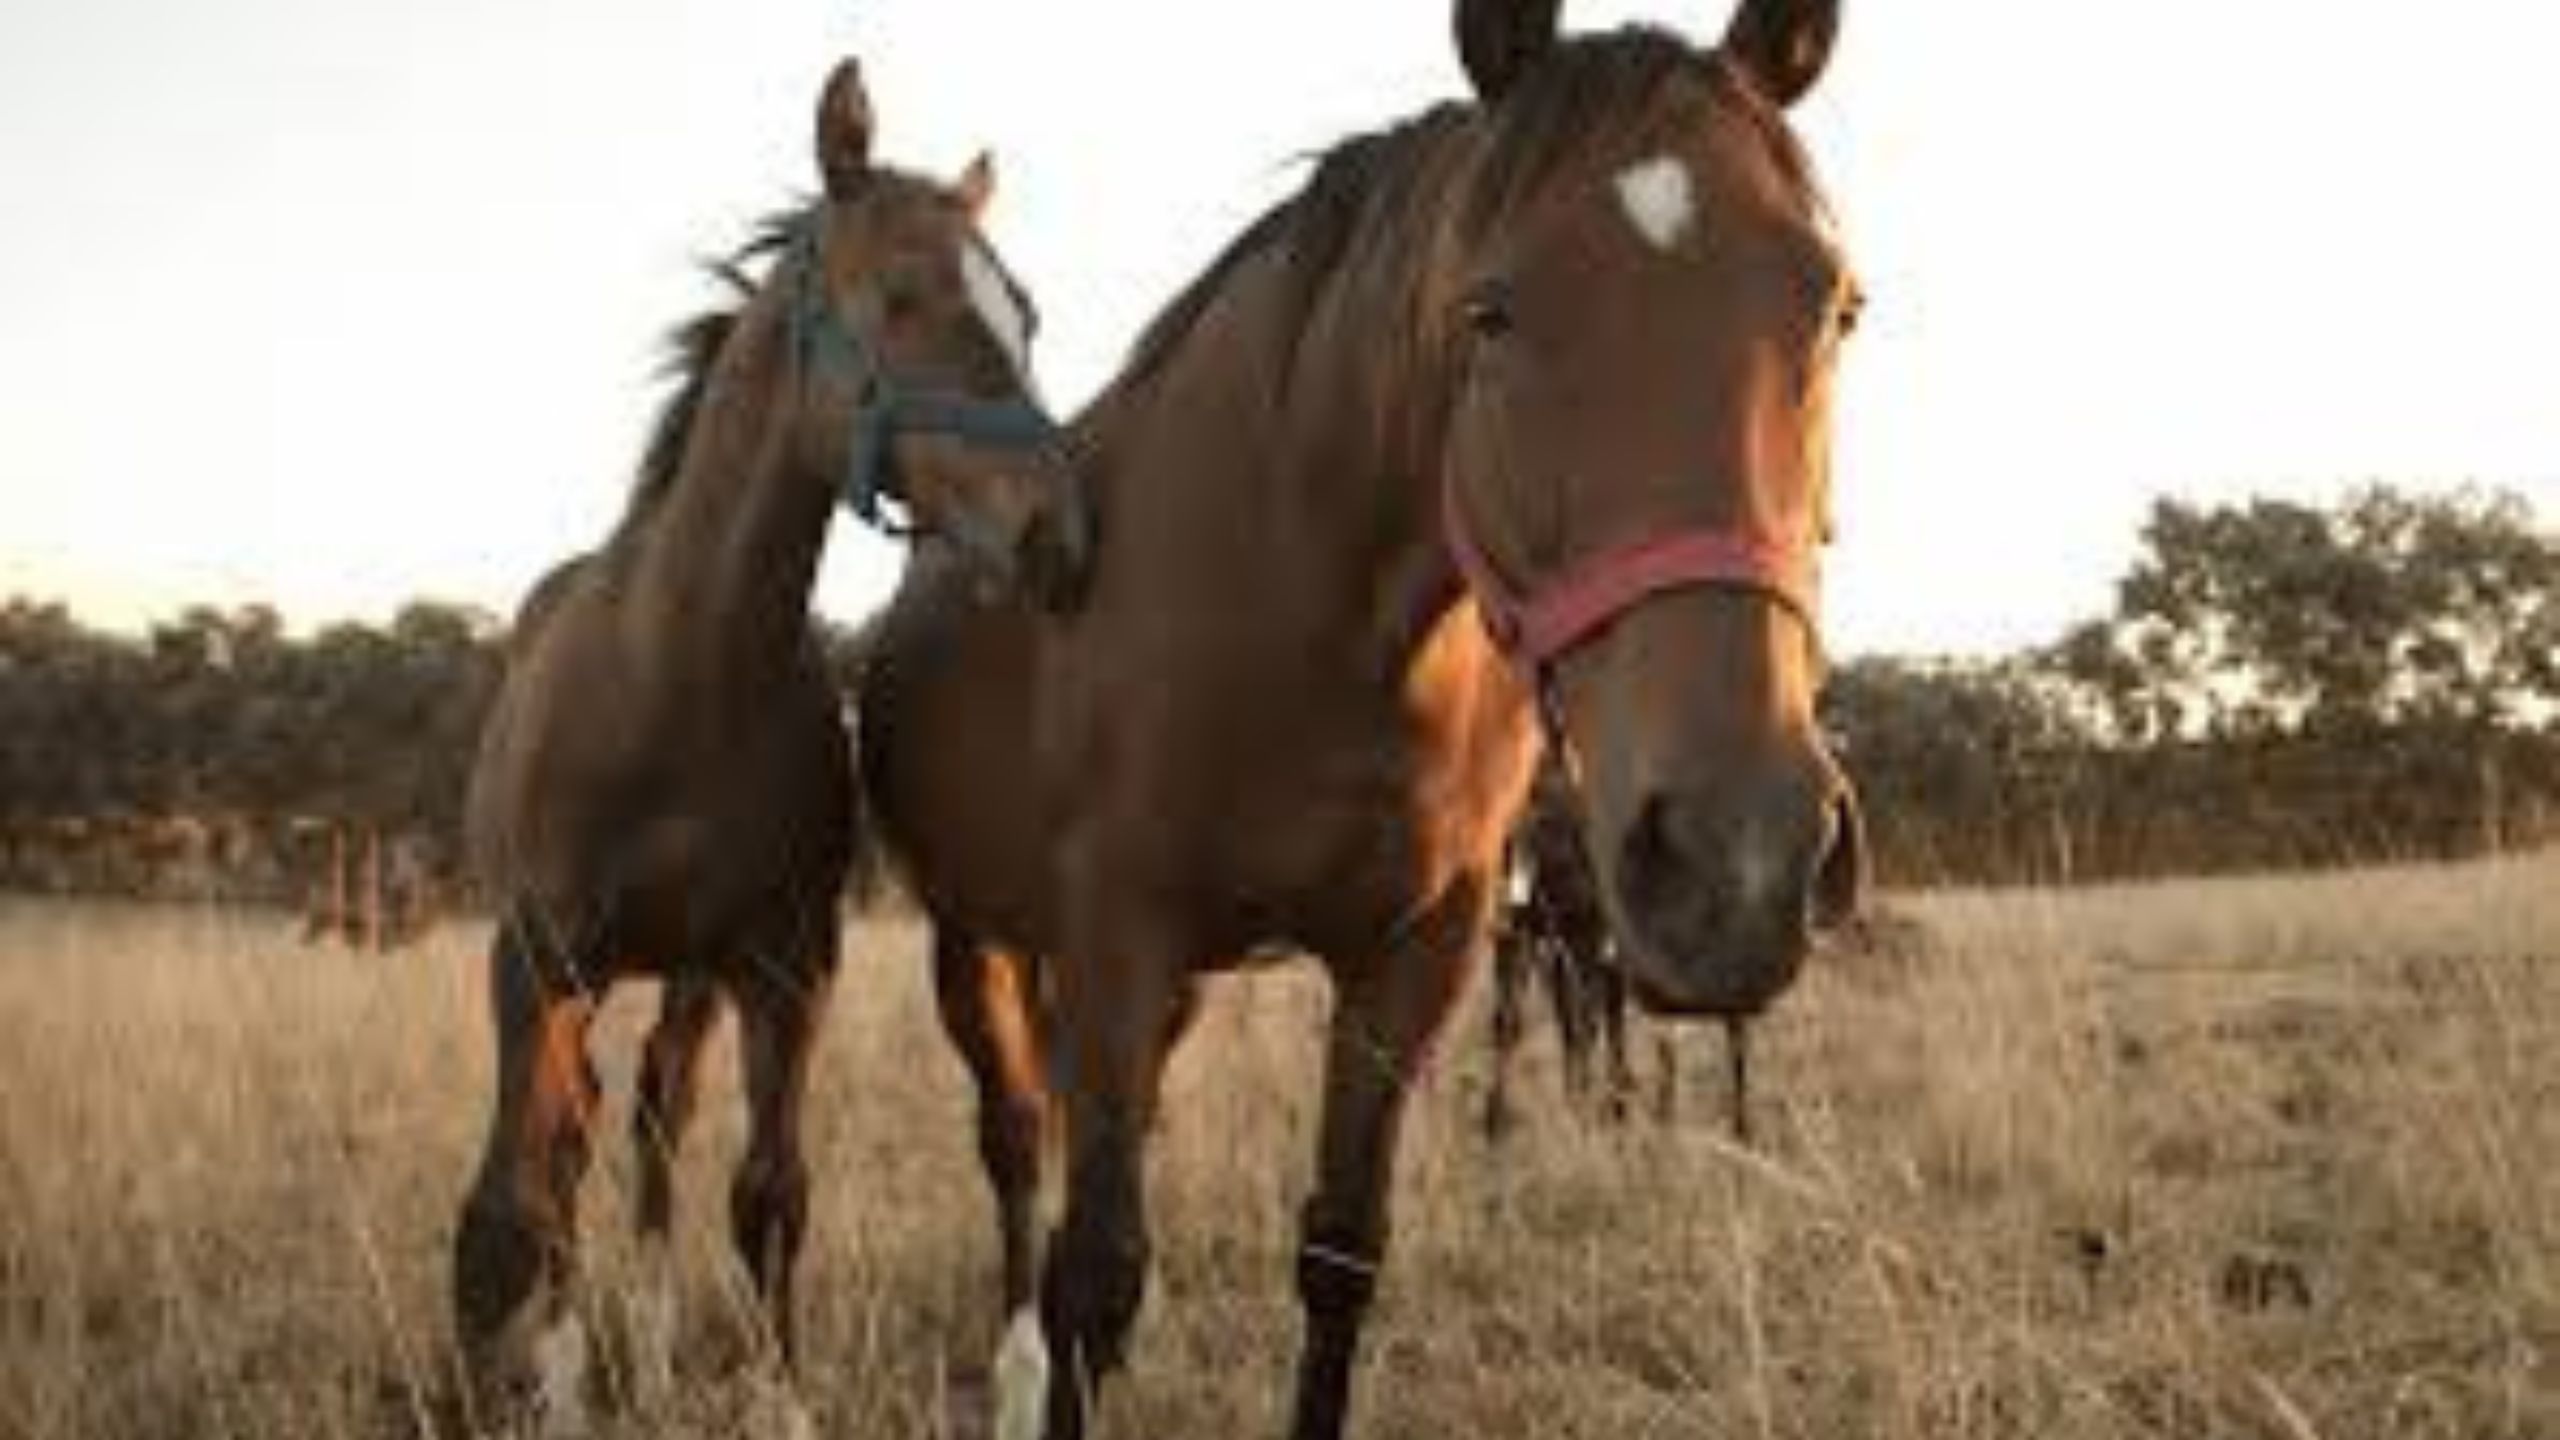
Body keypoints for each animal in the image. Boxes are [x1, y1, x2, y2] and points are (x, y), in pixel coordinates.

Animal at [453, 58, 1090, 1424]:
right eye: (900, 295)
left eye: (1025, 313)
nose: (1061, 534)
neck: (679, 677)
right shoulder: (535, 959)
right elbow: (516, 1205)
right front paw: (538, 1385)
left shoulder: (783, 968)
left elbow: (770, 1194)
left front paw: (775, 1401)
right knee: (585, 1136)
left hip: (691, 974)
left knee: (653, 1109)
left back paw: (643, 1342)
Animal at [860, 5, 1863, 1424]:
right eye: (1489, 312)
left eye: (1837, 305)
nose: (1743, 858)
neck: (1309, 615)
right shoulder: (1117, 936)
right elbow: (1094, 1276)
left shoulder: (1415, 954)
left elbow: (1340, 1253)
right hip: (979, 943)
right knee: (1014, 1158)